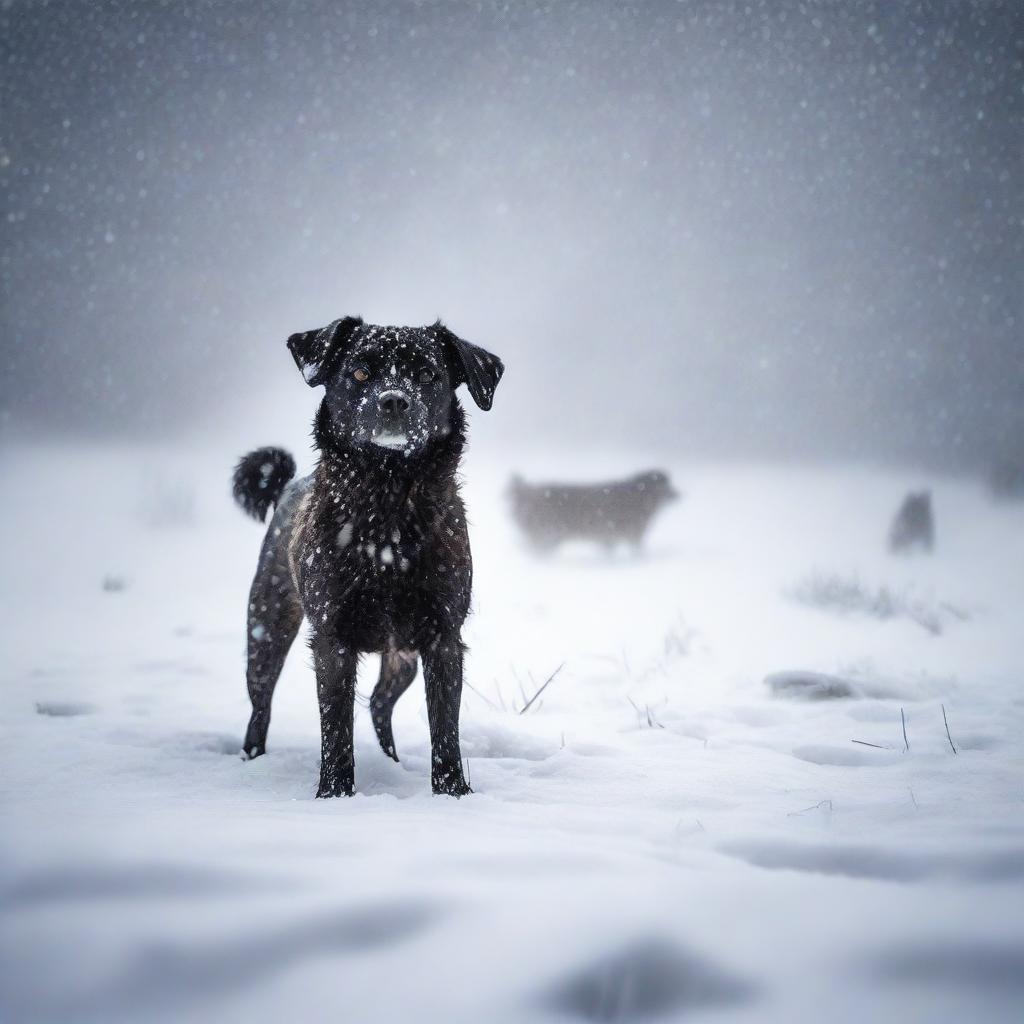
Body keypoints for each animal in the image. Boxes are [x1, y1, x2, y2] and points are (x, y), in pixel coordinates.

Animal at [232, 315, 503, 794]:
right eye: (359, 372)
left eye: (427, 374)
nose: (393, 400)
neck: (388, 508)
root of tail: (287, 487)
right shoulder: (333, 640)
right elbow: (336, 726)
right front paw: (335, 794)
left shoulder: (443, 638)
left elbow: (444, 728)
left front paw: (453, 792)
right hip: (266, 629)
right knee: (260, 708)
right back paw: (253, 760)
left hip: (402, 659)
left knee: (378, 702)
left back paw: (392, 761)